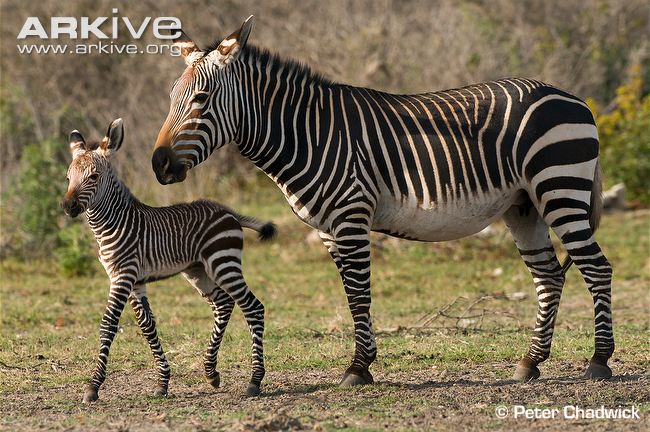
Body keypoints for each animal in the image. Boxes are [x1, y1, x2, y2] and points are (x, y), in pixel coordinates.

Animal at [61, 118, 274, 402]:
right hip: (198, 271)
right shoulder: (135, 280)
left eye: (93, 177)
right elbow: (147, 326)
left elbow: (108, 325)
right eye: (68, 177)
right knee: (224, 305)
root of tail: (229, 212)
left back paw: (254, 380)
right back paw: (211, 372)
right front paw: (163, 382)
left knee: (252, 307)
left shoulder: (122, 276)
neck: (112, 223)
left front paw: (93, 387)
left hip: (223, 263)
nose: (68, 207)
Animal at [152, 16, 612, 384]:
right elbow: (350, 293)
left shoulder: (351, 216)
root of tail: (574, 98)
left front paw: (358, 368)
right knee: (549, 277)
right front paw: (363, 362)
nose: (158, 164)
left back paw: (599, 361)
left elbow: (359, 293)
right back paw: (531, 362)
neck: (309, 133)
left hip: (560, 188)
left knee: (596, 268)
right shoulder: (328, 229)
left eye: (201, 100)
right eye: (171, 97)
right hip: (524, 206)